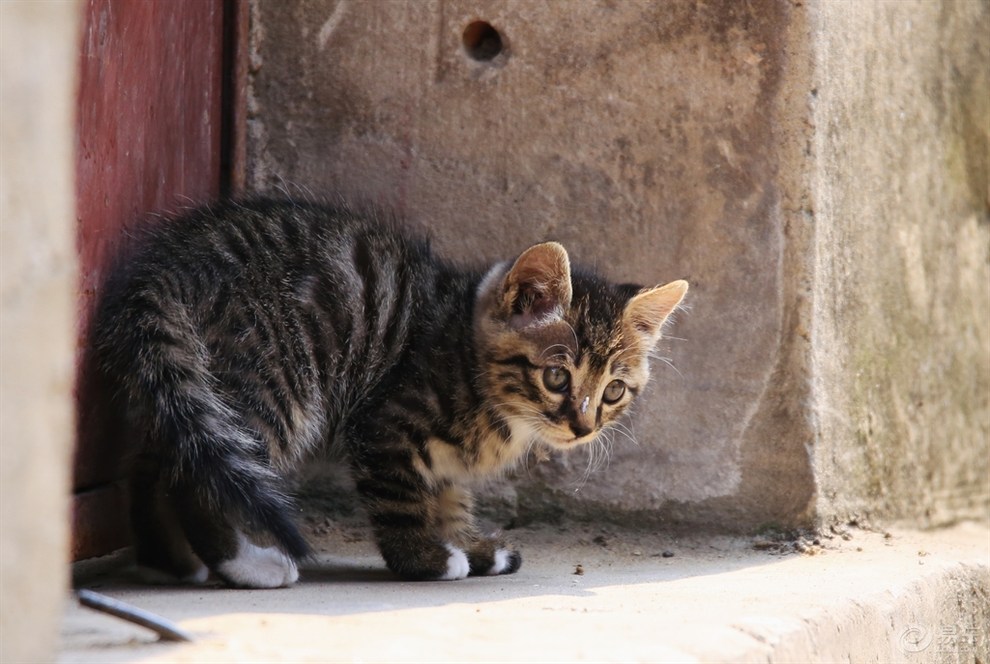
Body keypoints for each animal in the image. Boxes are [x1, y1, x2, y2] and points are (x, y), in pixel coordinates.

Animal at [93, 197, 684, 588]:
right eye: (557, 377)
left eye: (614, 390)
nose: (583, 426)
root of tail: (173, 263)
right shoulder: (385, 424)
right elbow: (401, 500)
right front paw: (428, 559)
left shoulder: (443, 460)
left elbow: (448, 494)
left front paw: (469, 544)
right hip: (272, 376)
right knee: (198, 475)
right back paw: (245, 564)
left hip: (199, 379)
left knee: (166, 455)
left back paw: (172, 560)